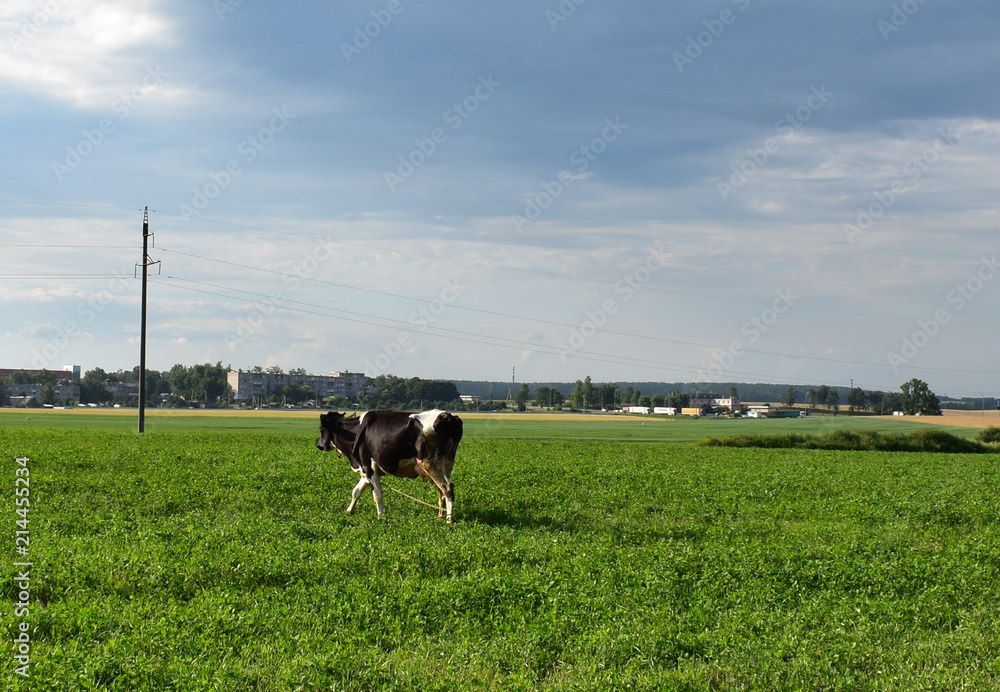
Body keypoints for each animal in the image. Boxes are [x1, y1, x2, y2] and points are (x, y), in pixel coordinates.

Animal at [316, 409, 463, 523]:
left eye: (321, 429)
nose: (317, 443)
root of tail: (448, 416)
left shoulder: (369, 469)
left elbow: (377, 495)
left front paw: (381, 517)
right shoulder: (365, 470)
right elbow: (356, 491)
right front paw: (349, 511)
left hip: (429, 463)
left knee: (447, 487)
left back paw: (449, 520)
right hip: (445, 464)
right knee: (442, 491)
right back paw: (440, 517)